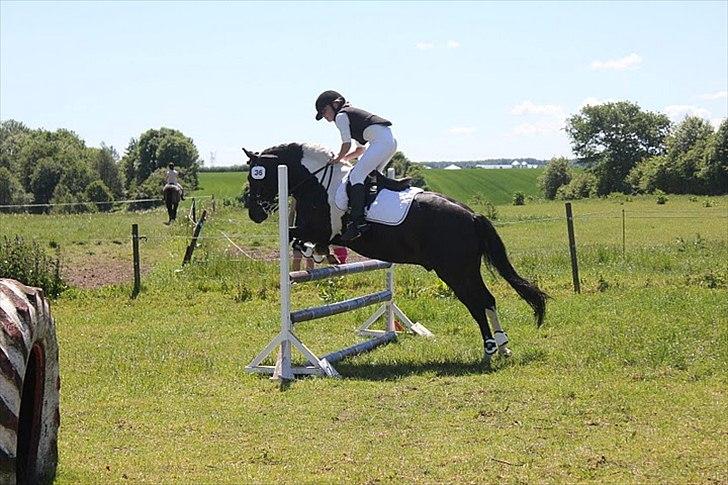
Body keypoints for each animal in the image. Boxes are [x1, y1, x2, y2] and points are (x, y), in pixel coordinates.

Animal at [243, 142, 548, 363]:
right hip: (466, 269)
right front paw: (319, 254)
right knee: (487, 300)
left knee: (477, 302)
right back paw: (503, 346)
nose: (255, 214)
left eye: (256, 177)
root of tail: (472, 216)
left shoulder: (319, 228)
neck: (318, 182)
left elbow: (295, 236)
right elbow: (300, 239)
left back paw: (490, 348)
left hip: (454, 270)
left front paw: (317, 253)